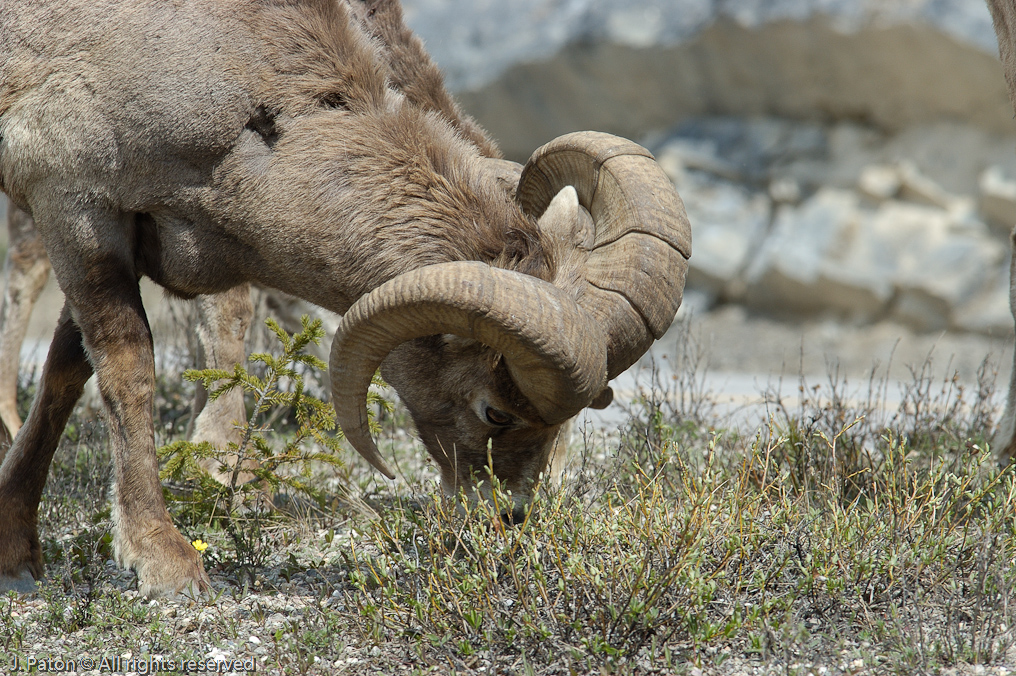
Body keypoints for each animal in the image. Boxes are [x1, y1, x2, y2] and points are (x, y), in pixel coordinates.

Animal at [0, 0, 690, 593]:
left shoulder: (121, 241)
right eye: (495, 411)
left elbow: (66, 374)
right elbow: (127, 370)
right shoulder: (78, 210)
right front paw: (165, 565)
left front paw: (16, 555)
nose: (507, 519)